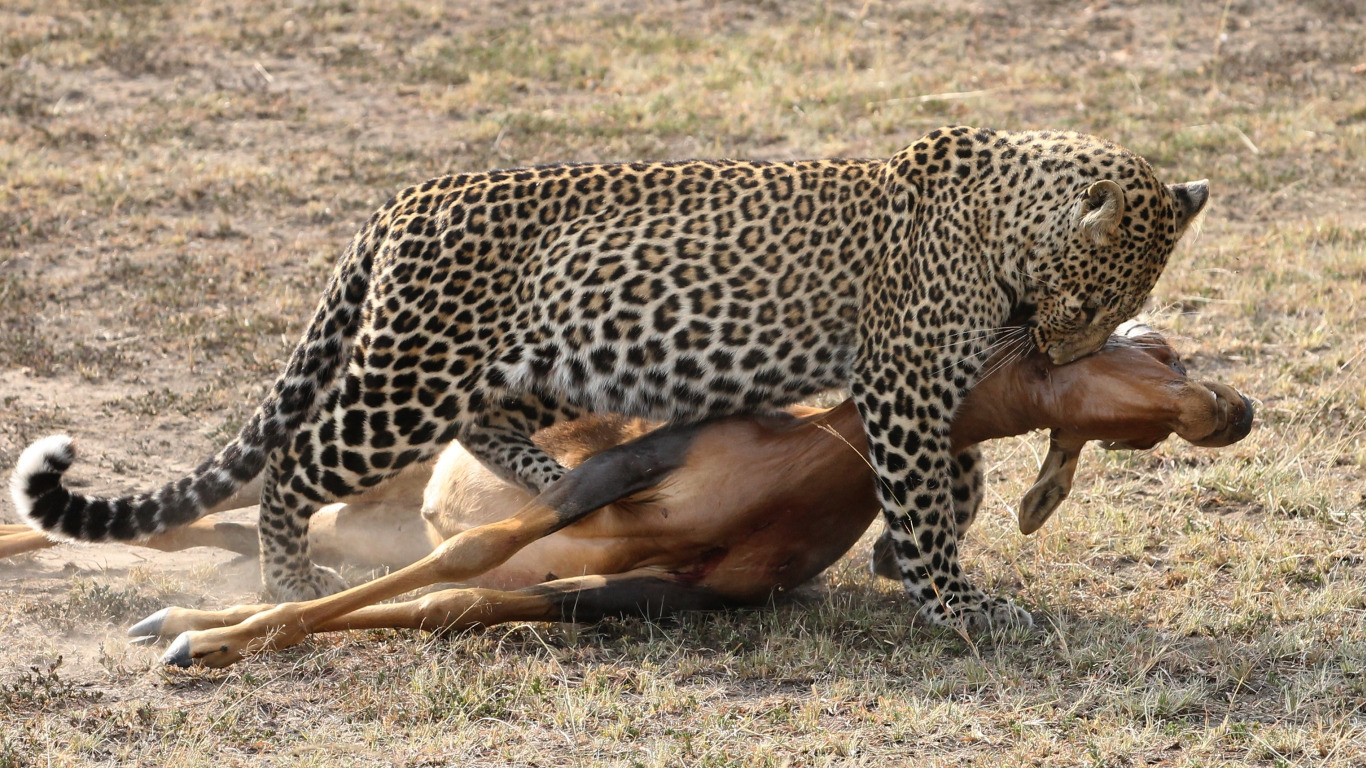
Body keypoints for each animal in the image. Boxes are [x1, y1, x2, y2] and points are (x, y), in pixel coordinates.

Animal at [11, 125, 1208, 630]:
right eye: (1087, 304)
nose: (1060, 358)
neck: (1004, 221)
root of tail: (402, 198)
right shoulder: (906, 385)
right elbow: (921, 494)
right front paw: (950, 600)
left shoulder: (920, 391)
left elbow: (951, 481)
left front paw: (926, 554)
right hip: (409, 374)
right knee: (300, 463)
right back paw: (289, 584)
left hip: (557, 357)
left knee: (492, 427)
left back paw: (556, 485)